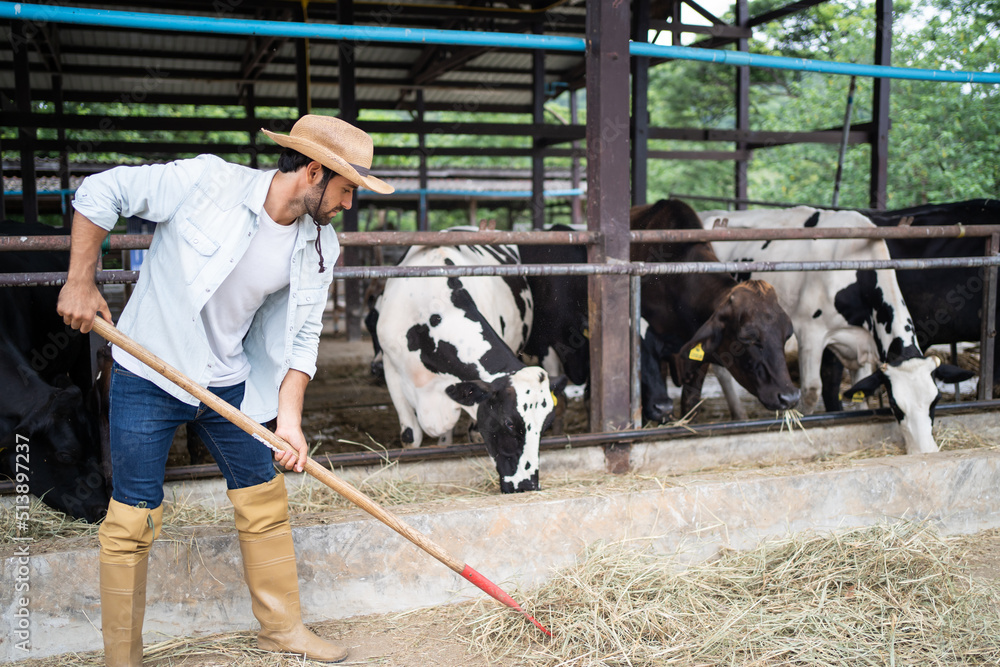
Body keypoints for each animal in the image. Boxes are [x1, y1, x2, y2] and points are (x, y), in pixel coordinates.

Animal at [374, 237, 564, 494]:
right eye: (509, 423)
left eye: (546, 426)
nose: (527, 485)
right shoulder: (391, 368)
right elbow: (410, 436)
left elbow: (475, 433)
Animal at [700, 204, 972, 454]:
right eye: (896, 406)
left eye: (935, 401)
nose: (925, 451)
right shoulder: (809, 331)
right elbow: (811, 391)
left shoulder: (863, 344)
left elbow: (862, 393)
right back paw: (739, 414)